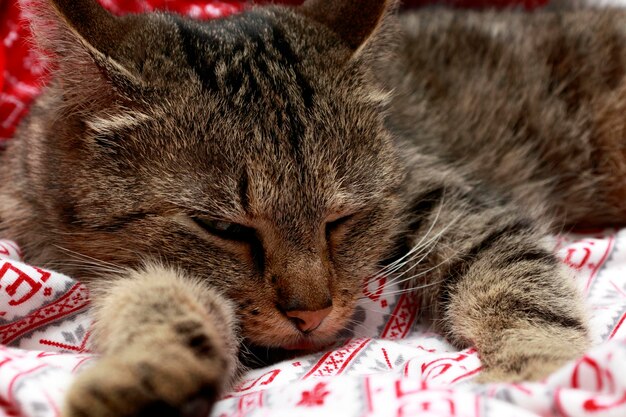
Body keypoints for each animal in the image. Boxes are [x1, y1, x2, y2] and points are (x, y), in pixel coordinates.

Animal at [4, 0, 624, 414]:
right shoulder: (107, 271)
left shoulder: (448, 200)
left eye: (341, 220)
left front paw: (540, 375)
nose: (311, 314)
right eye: (221, 227)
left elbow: (522, 290)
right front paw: (146, 376)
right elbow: (161, 302)